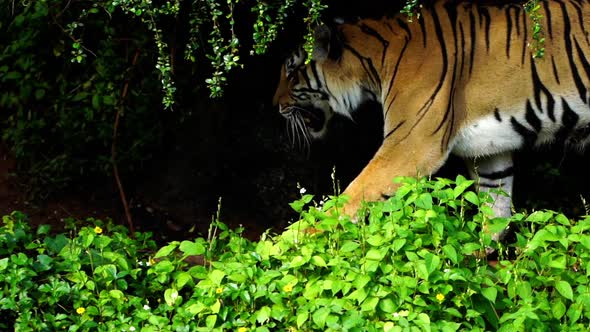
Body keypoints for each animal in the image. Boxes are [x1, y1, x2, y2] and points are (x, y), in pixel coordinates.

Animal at [274, 0, 590, 236]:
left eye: (290, 69)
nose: (275, 105)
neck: (375, 63)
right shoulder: (490, 151)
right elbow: (495, 212)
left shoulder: (408, 148)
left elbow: (347, 199)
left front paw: (283, 248)